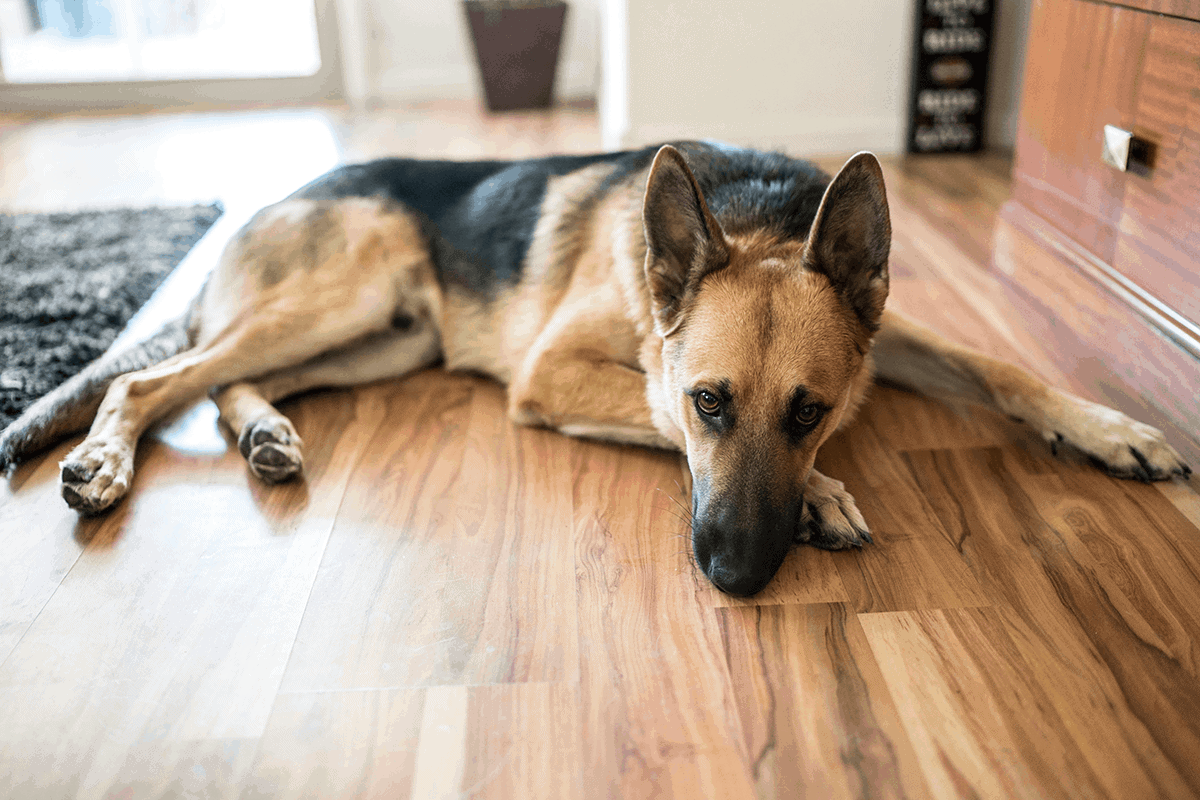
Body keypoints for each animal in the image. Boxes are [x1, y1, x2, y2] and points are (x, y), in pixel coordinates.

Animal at [0, 143, 1185, 594]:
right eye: (710, 403)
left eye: (811, 411)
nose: (738, 577)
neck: (757, 213)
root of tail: (276, 193)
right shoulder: (552, 371)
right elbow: (649, 406)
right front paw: (826, 497)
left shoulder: (886, 339)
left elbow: (1000, 365)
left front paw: (1109, 426)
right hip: (347, 296)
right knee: (154, 381)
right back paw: (104, 462)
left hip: (382, 336)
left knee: (219, 384)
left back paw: (266, 435)